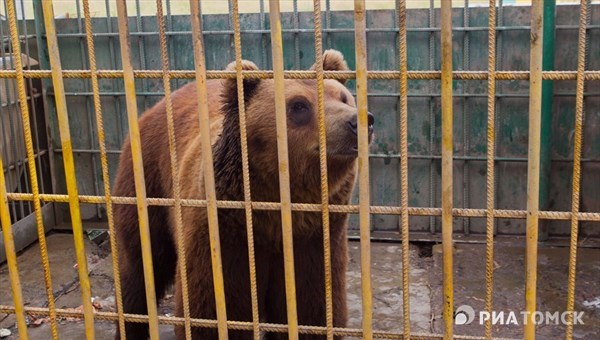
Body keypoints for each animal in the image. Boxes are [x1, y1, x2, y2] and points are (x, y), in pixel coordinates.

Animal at [112, 48, 372, 340]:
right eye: (299, 106)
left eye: (343, 97)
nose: (358, 121)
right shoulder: (224, 232)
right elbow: (214, 310)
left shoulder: (313, 238)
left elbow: (311, 310)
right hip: (147, 180)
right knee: (139, 265)